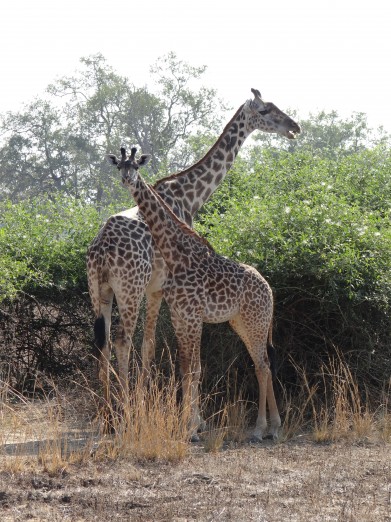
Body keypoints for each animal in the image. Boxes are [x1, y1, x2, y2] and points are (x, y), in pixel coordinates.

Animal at [88, 88, 300, 406]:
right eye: (265, 111)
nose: (293, 127)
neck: (189, 197)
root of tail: (100, 249)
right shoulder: (159, 288)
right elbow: (153, 345)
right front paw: (144, 401)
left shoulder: (157, 289)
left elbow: (151, 344)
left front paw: (146, 397)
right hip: (129, 288)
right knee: (122, 339)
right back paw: (123, 406)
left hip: (97, 289)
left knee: (101, 341)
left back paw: (105, 406)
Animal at [105, 145, 280, 438]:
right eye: (119, 165)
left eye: (136, 166)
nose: (127, 180)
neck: (176, 256)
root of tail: (269, 291)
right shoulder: (179, 315)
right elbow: (186, 369)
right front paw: (189, 425)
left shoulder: (193, 316)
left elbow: (195, 370)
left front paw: (191, 428)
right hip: (240, 322)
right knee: (263, 364)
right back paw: (271, 425)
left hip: (256, 321)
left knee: (263, 364)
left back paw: (263, 428)